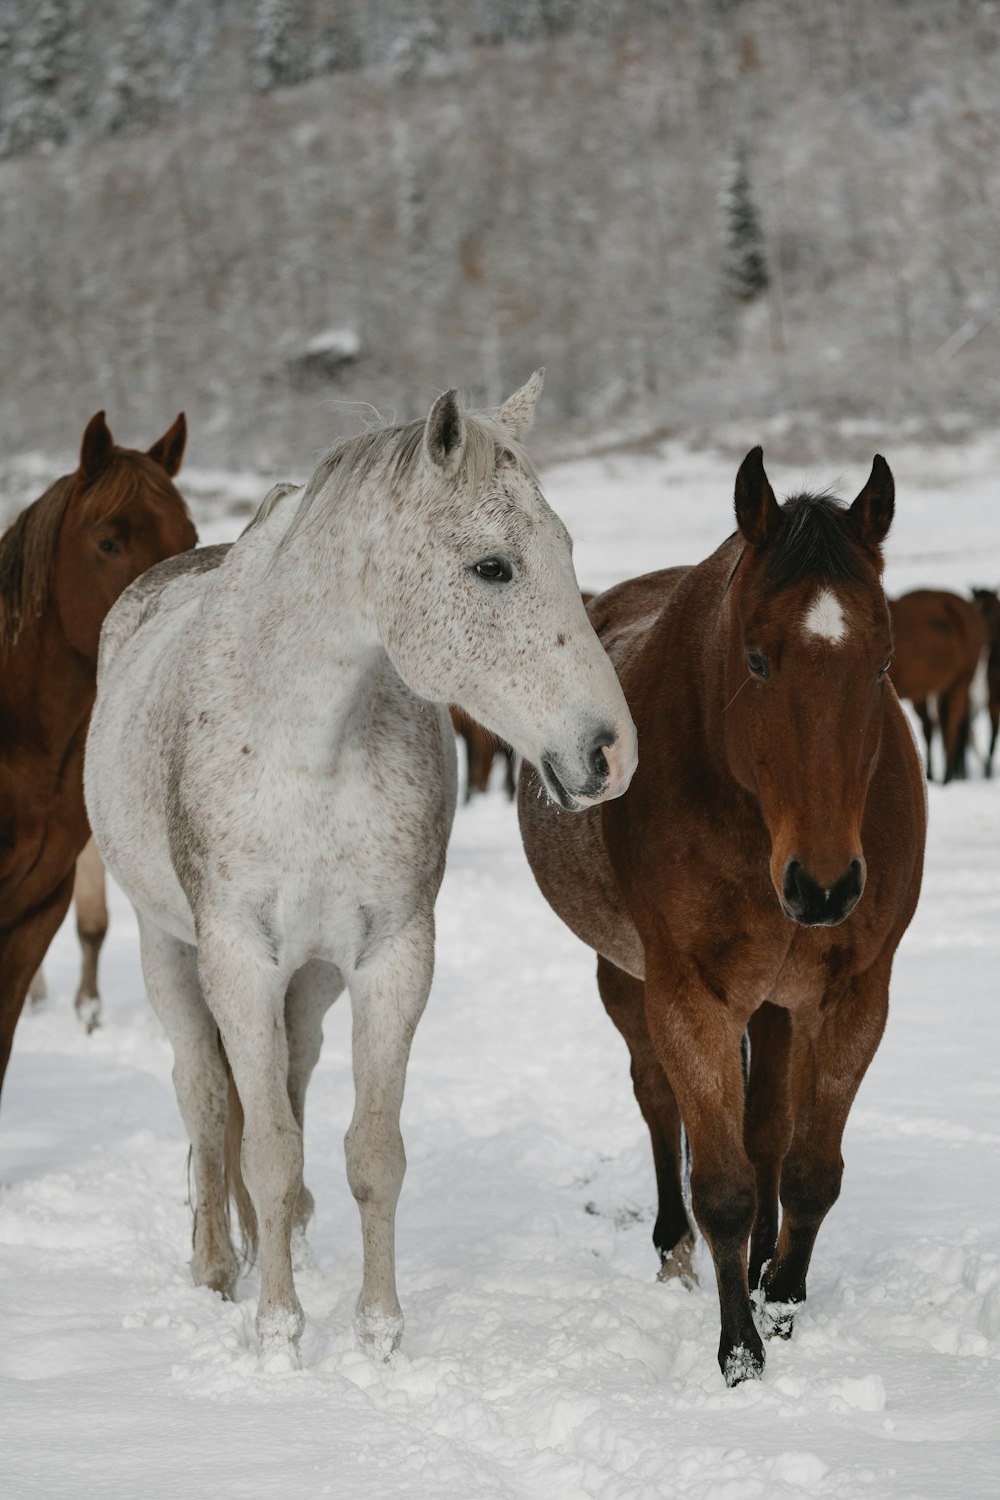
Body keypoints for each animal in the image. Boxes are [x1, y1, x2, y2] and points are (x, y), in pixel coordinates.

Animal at [83, 375, 632, 1362]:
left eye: (568, 549)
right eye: (493, 568)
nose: (610, 754)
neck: (311, 742)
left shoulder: (391, 959)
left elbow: (370, 1152)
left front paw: (378, 1334)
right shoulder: (237, 959)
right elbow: (263, 1144)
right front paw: (279, 1334)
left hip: (310, 983)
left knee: (289, 1085)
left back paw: (286, 1239)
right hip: (167, 950)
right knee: (205, 1098)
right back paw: (219, 1264)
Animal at [521, 450, 929, 1386]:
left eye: (884, 661)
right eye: (757, 659)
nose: (824, 889)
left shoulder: (855, 995)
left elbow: (808, 1167)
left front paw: (783, 1298)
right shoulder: (690, 997)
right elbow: (723, 1185)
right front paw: (739, 1351)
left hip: (777, 1002)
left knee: (767, 1128)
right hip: (627, 978)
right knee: (657, 1101)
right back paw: (675, 1249)